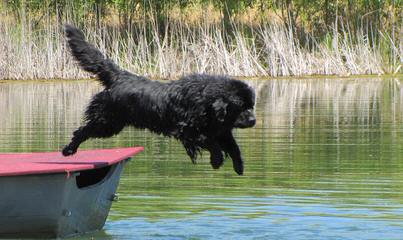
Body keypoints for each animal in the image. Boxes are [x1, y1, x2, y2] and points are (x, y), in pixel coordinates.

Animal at [61, 24, 258, 174]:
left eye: (251, 105)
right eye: (241, 107)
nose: (253, 120)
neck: (206, 103)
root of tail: (120, 76)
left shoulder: (221, 130)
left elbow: (233, 146)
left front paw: (239, 165)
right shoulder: (187, 130)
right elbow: (210, 142)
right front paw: (216, 159)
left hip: (111, 123)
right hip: (107, 121)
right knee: (82, 131)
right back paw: (69, 149)